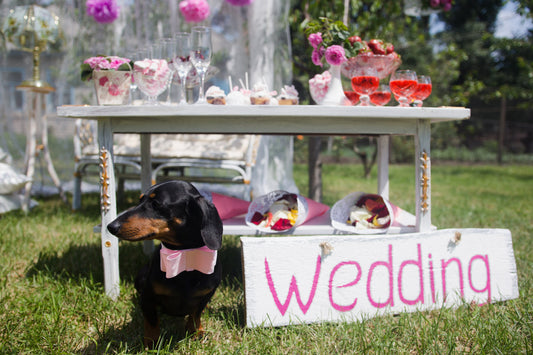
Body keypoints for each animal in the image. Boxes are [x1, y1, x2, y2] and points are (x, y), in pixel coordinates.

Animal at [106, 181, 222, 348]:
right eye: (140, 200)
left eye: (155, 204)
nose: (111, 226)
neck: (184, 257)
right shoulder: (148, 297)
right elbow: (152, 321)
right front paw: (151, 343)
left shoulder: (206, 294)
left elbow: (195, 315)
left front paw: (195, 332)